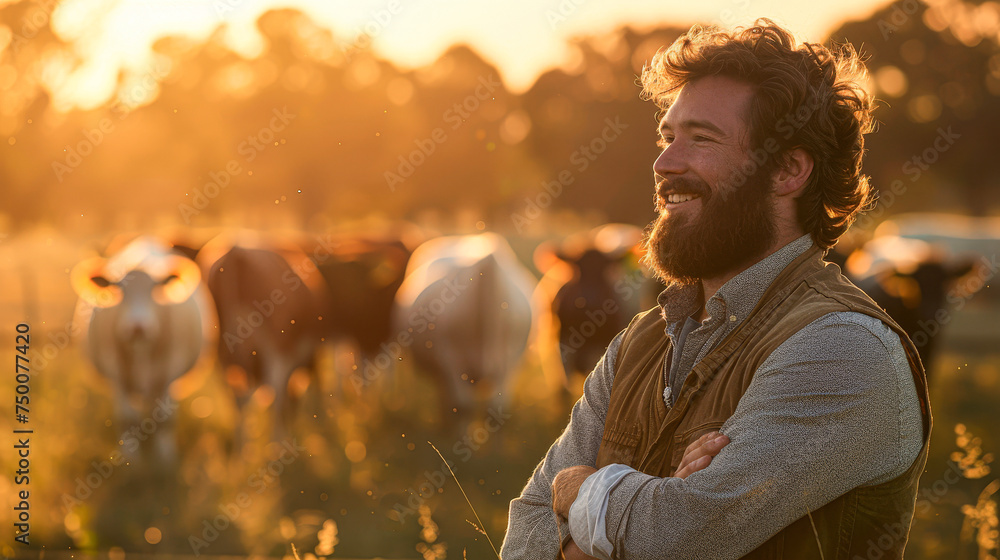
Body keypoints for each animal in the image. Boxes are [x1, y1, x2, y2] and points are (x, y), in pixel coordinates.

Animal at [70, 234, 215, 466]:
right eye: (119, 291)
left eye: (154, 290)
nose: (137, 327)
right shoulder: (117, 375)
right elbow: (126, 419)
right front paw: (131, 458)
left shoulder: (168, 373)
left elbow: (165, 419)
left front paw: (165, 458)